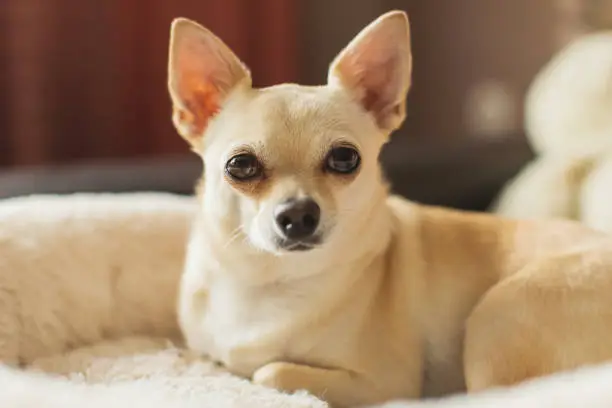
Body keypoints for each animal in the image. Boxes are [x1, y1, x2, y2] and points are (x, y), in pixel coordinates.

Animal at [166, 10, 612, 408]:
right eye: (240, 165)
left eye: (345, 159)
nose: (298, 214)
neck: (269, 281)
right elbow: (210, 356)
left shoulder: (383, 384)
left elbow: (268, 370)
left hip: (501, 311)